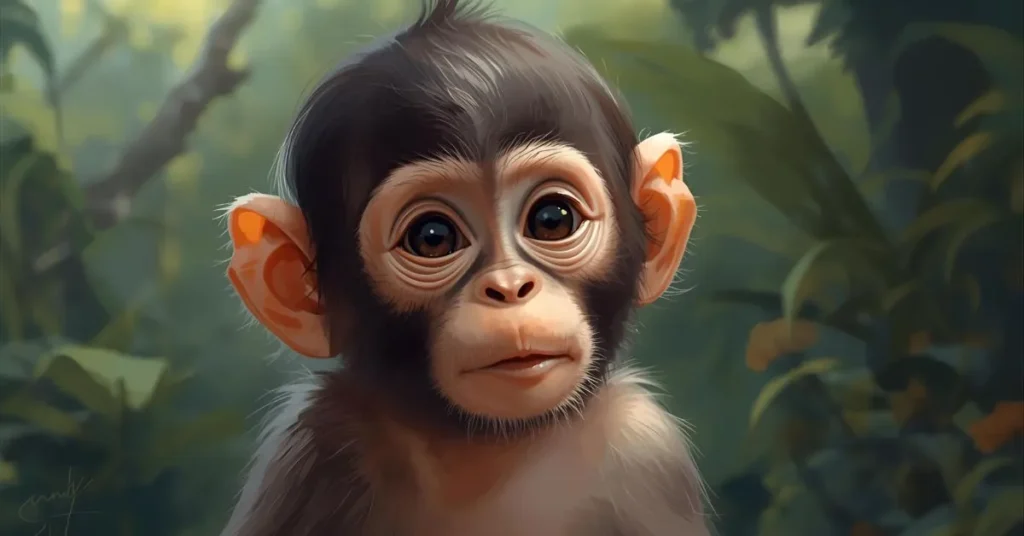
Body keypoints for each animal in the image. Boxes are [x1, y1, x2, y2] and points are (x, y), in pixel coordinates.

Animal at [219, 1, 708, 535]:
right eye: (432, 237)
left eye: (552, 219)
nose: (511, 288)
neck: (487, 451)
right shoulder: (311, 443)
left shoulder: (645, 450)